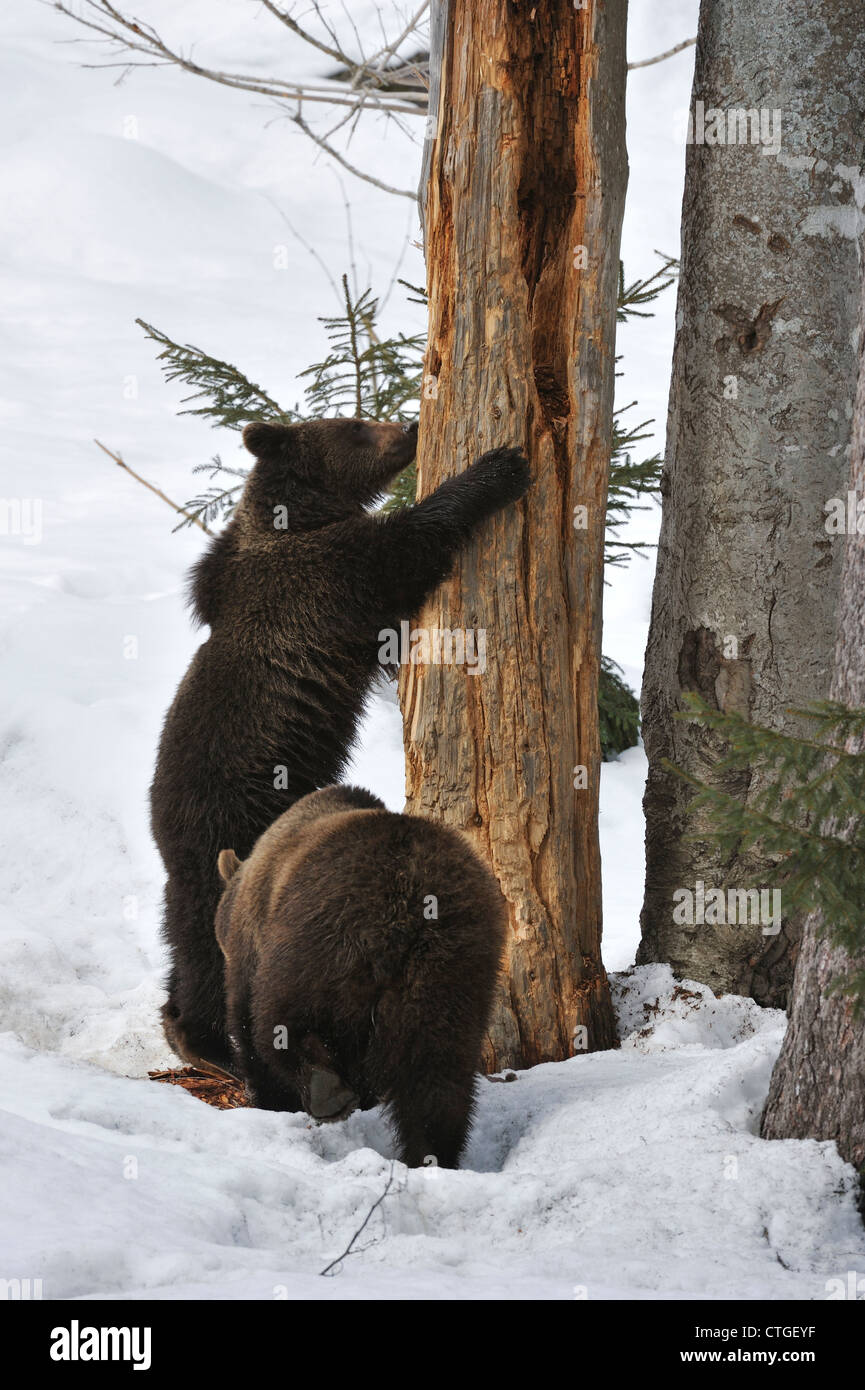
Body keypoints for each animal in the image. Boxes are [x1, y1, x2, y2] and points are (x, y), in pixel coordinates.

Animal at [148, 417, 528, 1078]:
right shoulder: (334, 572)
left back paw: (183, 1031)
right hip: (236, 822)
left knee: (181, 933)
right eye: (354, 427)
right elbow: (413, 540)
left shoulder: (232, 570)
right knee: (211, 940)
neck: (298, 517)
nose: (410, 425)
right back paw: (210, 1044)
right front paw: (499, 466)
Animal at [214, 789, 508, 1167]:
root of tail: (406, 908)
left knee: (279, 1021)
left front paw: (272, 1100)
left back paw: (326, 1091)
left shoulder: (252, 948)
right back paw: (431, 1153)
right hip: (453, 966)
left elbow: (247, 1027)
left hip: (316, 939)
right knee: (437, 1074)